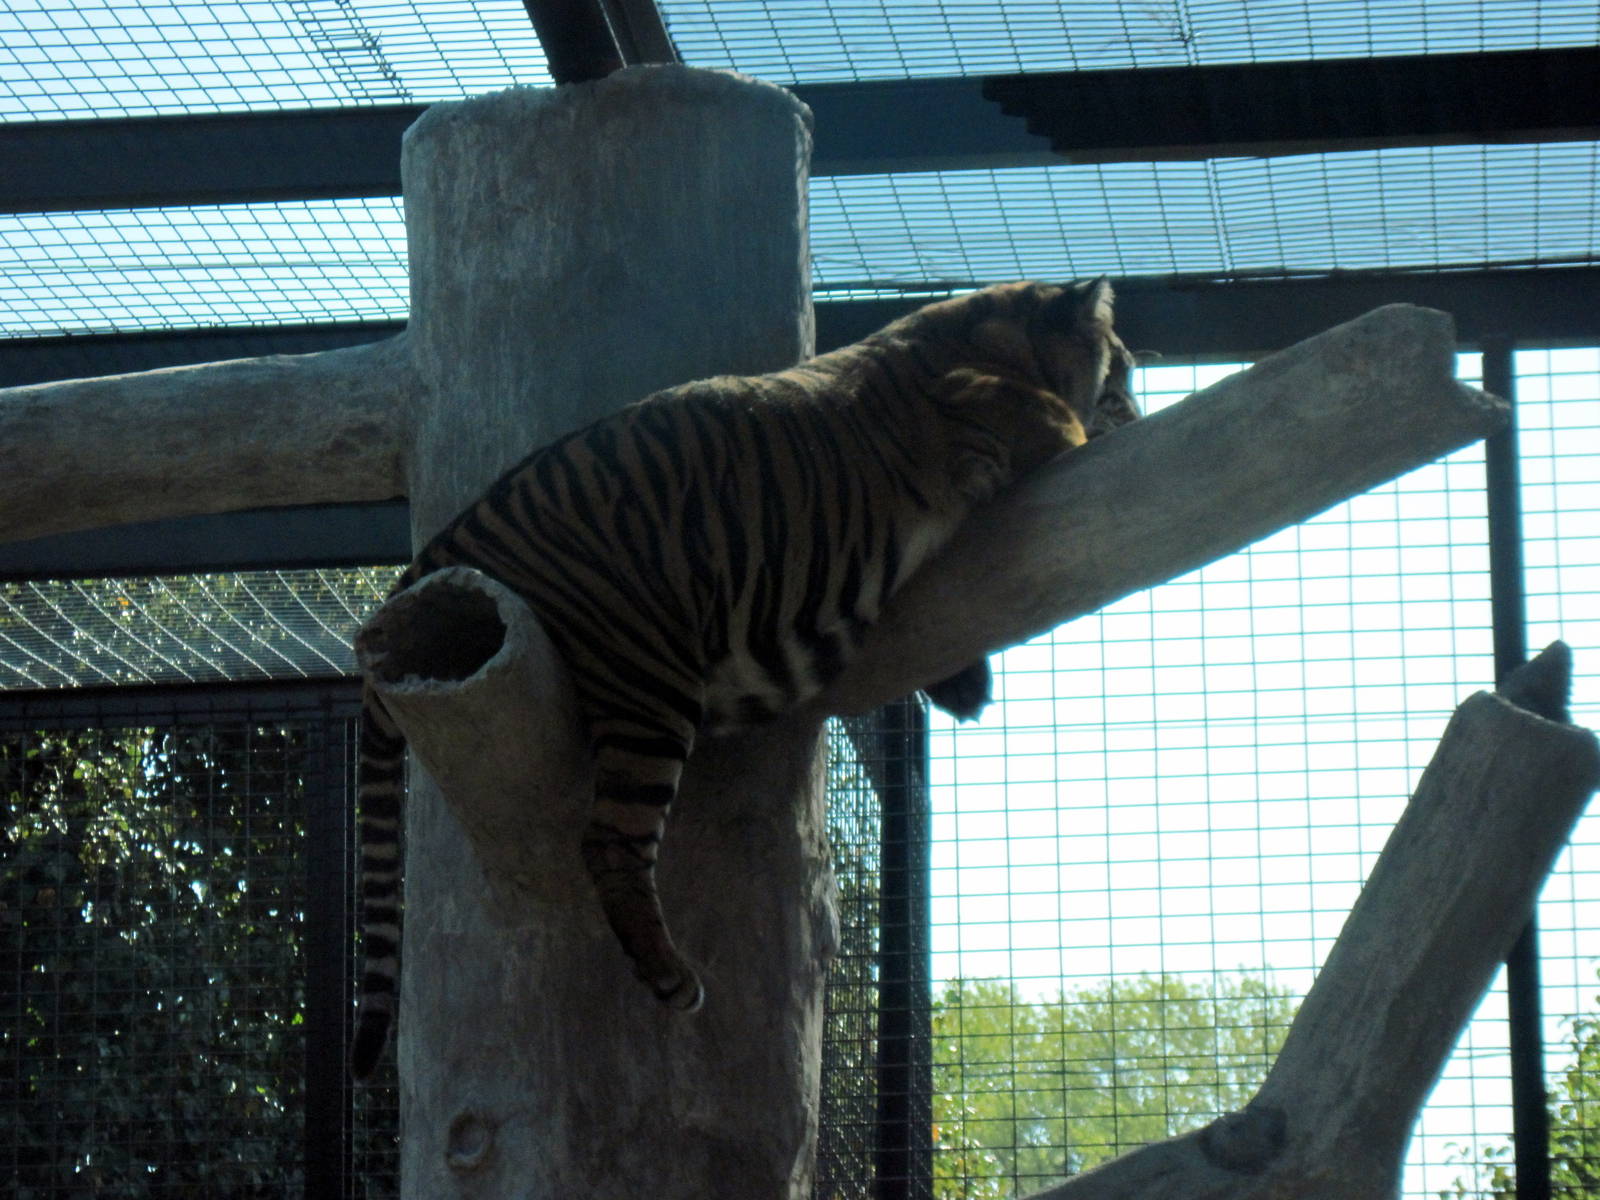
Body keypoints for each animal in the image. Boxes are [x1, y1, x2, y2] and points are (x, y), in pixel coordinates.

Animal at [350, 278, 1139, 1078]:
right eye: (1126, 374)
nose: (1136, 413)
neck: (988, 332)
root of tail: (448, 538)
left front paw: (963, 688)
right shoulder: (998, 413)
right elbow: (1065, 428)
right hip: (648, 678)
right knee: (609, 840)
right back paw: (672, 978)